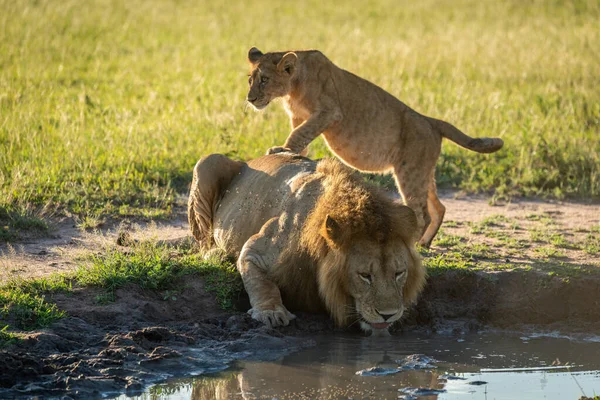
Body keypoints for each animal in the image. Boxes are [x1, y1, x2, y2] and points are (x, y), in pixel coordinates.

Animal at [189, 152, 426, 332]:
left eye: (399, 273)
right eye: (365, 276)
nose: (388, 315)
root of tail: (250, 160)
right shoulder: (256, 250)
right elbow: (262, 283)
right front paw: (271, 312)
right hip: (207, 163)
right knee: (203, 240)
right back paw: (216, 254)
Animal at [246, 47, 504, 247]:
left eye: (264, 80)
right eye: (250, 80)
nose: (250, 99)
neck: (292, 89)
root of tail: (430, 120)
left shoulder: (329, 112)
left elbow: (300, 133)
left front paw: (282, 150)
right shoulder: (299, 115)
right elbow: (300, 137)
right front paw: (293, 151)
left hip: (409, 172)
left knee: (422, 214)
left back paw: (414, 246)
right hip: (423, 171)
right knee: (438, 207)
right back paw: (425, 243)